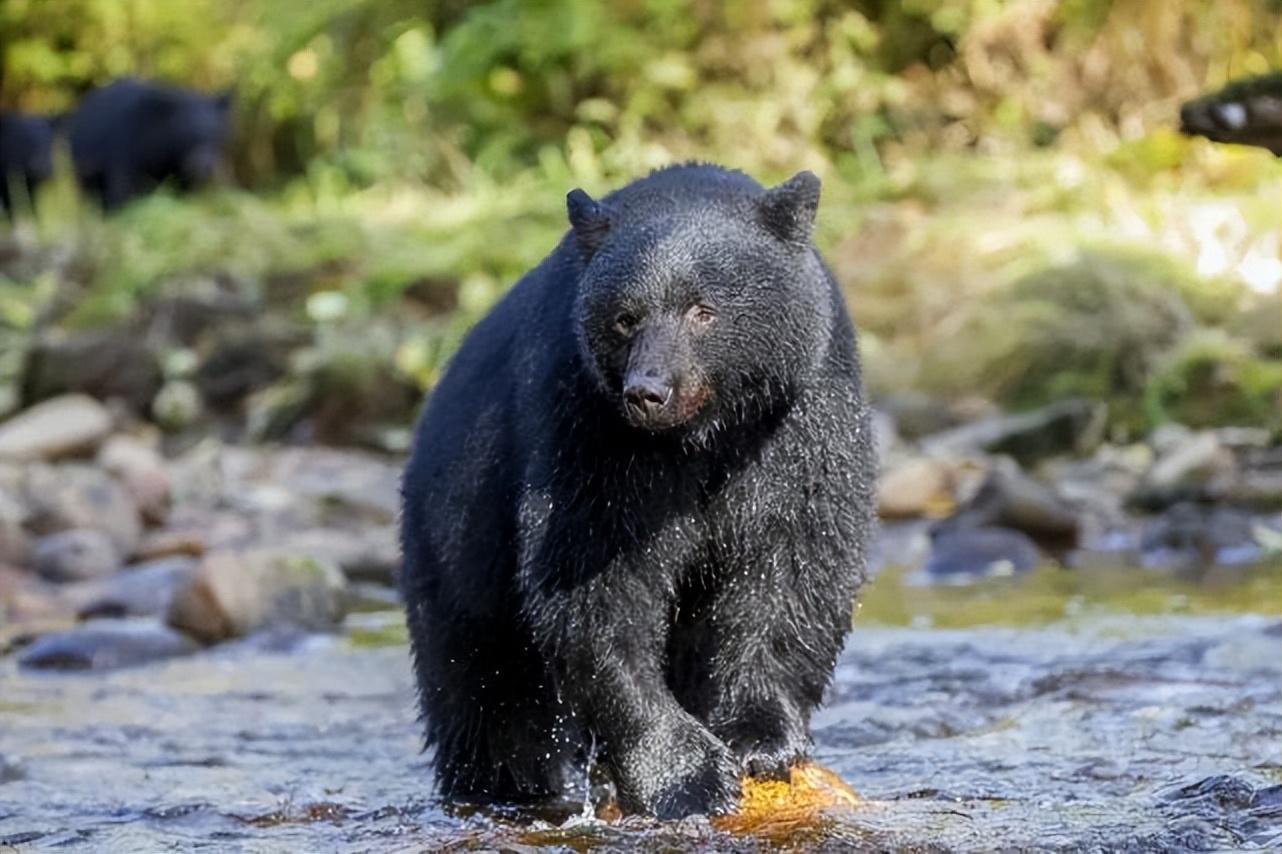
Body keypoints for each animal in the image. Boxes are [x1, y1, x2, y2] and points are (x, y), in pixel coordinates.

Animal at [65, 78, 232, 211]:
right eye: (191, 135)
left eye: (216, 135)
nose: (206, 168)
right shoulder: (126, 147)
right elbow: (123, 189)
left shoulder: (179, 167)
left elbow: (184, 191)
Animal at [402, 161, 882, 820]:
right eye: (625, 318)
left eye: (703, 310)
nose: (647, 392)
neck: (702, 436)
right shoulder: (587, 426)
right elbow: (595, 581)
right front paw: (686, 776)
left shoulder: (802, 415)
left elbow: (793, 558)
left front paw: (759, 738)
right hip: (457, 549)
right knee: (487, 701)